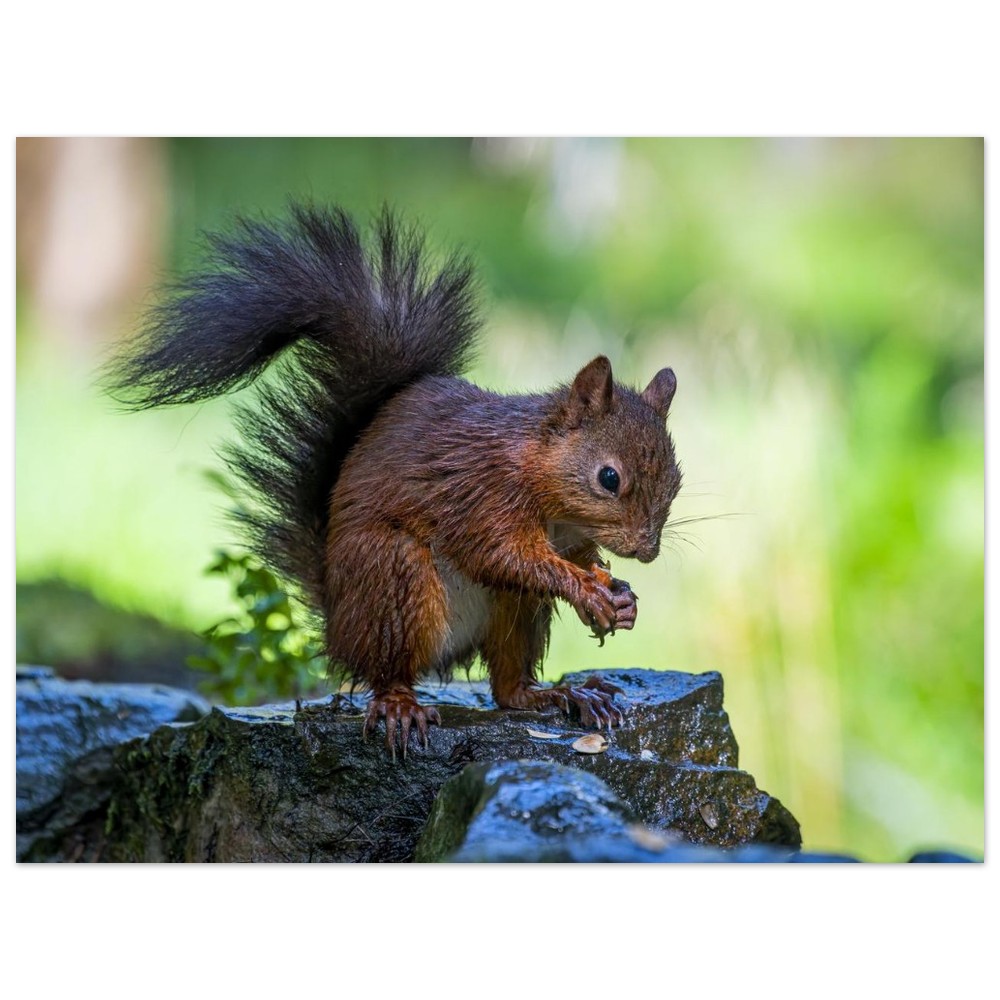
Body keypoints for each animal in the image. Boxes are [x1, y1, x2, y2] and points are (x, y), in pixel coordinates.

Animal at [106, 204, 682, 757]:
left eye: (676, 481)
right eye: (609, 478)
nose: (648, 551)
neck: (545, 484)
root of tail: (337, 623)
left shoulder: (568, 534)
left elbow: (575, 558)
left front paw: (619, 594)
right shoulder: (480, 495)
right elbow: (503, 555)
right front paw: (587, 589)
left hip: (514, 611)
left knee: (507, 687)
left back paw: (560, 694)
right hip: (392, 578)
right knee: (388, 670)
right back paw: (401, 705)